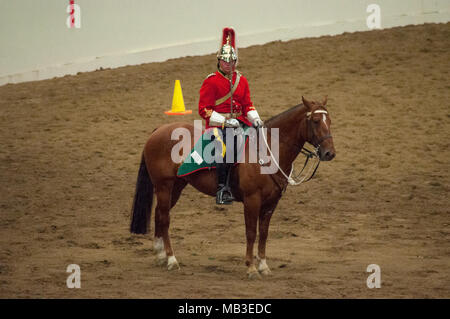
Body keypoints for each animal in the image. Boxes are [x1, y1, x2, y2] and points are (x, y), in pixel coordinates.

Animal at [129, 96, 334, 278]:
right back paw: (172, 259)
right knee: (164, 218)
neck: (267, 151)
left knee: (158, 213)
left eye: (330, 121)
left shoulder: (271, 203)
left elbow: (264, 233)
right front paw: (251, 268)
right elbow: (251, 232)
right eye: (316, 121)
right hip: (164, 186)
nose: (329, 153)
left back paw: (160, 255)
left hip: (176, 187)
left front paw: (263, 265)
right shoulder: (252, 200)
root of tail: (159, 130)